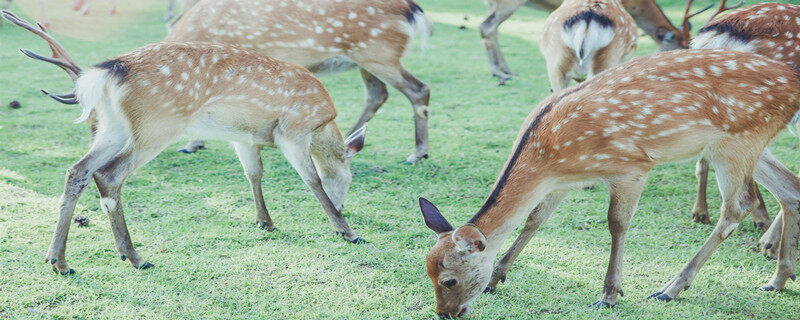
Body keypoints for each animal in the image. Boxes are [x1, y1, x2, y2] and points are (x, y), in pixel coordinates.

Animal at [0, 10, 368, 276]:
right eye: (349, 177)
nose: (343, 207)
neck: (323, 123)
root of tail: (108, 72)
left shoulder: (245, 138)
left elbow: (254, 174)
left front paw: (265, 221)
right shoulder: (292, 131)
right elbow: (312, 179)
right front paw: (347, 231)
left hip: (111, 127)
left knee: (78, 170)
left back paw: (59, 261)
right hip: (158, 125)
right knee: (108, 174)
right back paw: (135, 257)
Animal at [165, 0, 434, 164]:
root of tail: (413, 9)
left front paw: (193, 143)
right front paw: (196, 143)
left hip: (379, 52)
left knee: (418, 89)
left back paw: (417, 153)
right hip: (365, 58)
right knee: (378, 93)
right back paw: (349, 137)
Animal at [418, 48, 800, 318]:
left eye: (449, 279)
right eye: (427, 272)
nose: (445, 314)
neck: (549, 157)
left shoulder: (631, 167)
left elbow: (616, 223)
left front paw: (609, 295)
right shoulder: (562, 182)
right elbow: (535, 219)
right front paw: (498, 276)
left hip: (738, 140)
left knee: (739, 206)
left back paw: (671, 287)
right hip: (746, 143)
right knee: (790, 188)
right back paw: (778, 279)